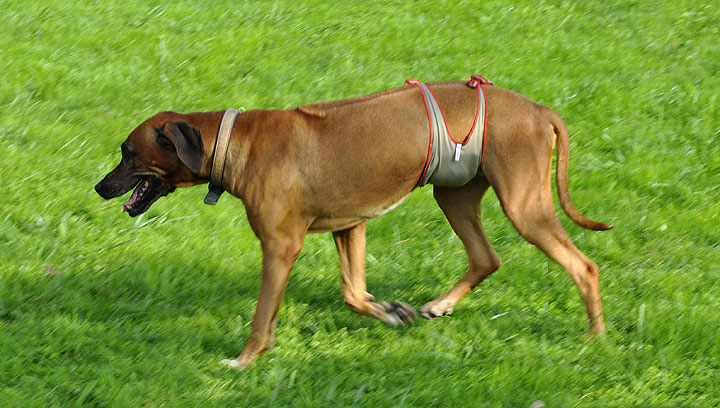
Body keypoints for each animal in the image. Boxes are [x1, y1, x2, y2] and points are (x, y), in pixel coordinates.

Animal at [95, 75, 612, 368]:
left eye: (127, 153)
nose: (100, 187)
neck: (233, 141)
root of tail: (538, 109)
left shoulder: (280, 247)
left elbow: (262, 320)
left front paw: (243, 361)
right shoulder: (350, 226)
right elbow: (353, 294)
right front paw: (391, 312)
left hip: (524, 206)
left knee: (584, 267)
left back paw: (595, 337)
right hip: (454, 194)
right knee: (487, 257)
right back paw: (440, 305)